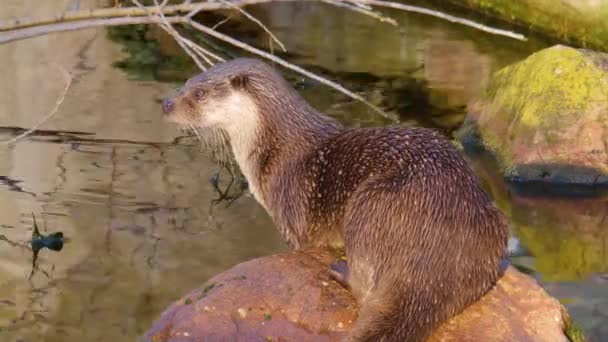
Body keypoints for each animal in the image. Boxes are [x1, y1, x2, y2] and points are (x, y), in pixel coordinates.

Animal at [160, 58, 508, 342]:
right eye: (187, 82)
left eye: (199, 94)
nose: (166, 103)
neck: (275, 151)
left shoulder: (293, 218)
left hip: (369, 204)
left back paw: (340, 271)